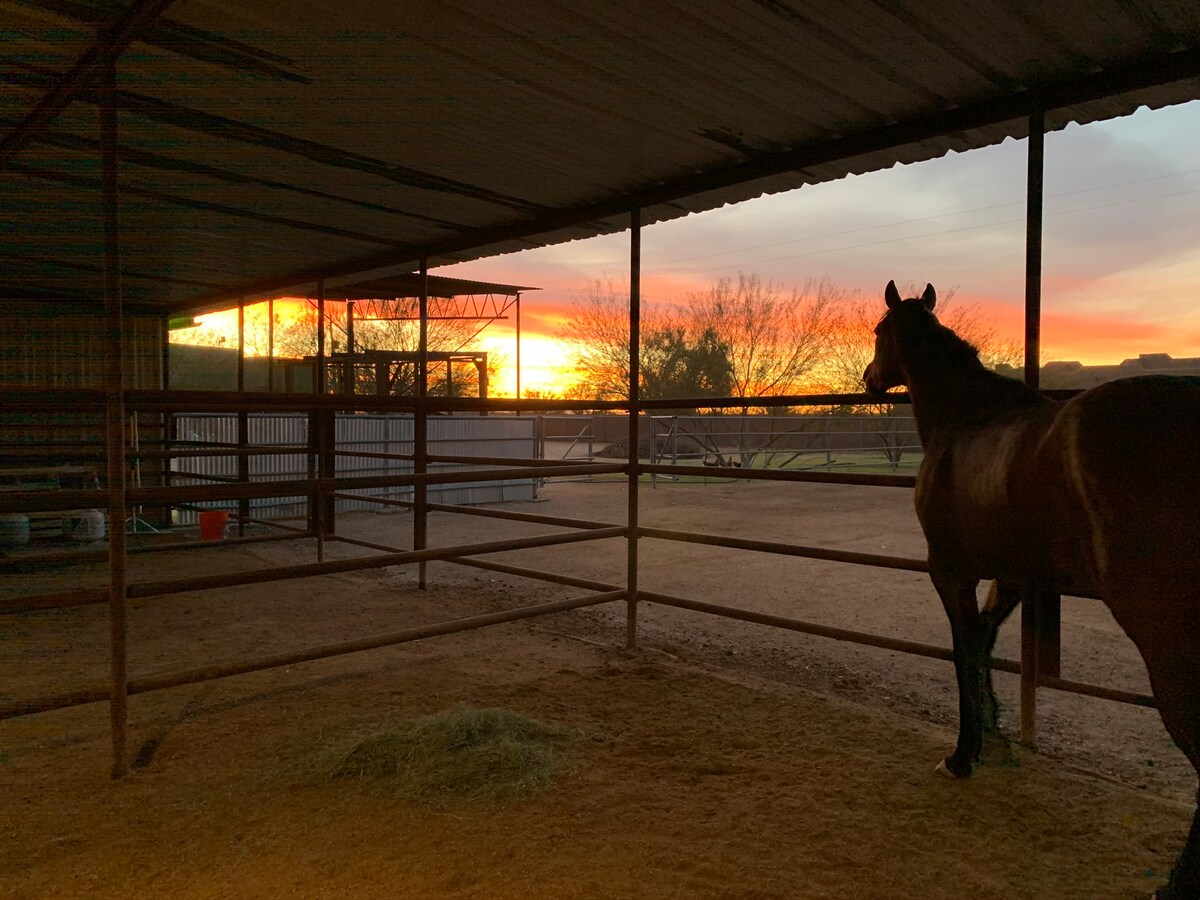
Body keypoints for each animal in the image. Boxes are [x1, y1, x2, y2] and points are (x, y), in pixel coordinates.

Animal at [864, 278, 1200, 897]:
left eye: (879, 330)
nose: (870, 379)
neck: (965, 420)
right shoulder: (1012, 575)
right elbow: (984, 646)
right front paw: (992, 740)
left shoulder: (950, 571)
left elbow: (963, 651)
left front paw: (962, 756)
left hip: (1165, 638)